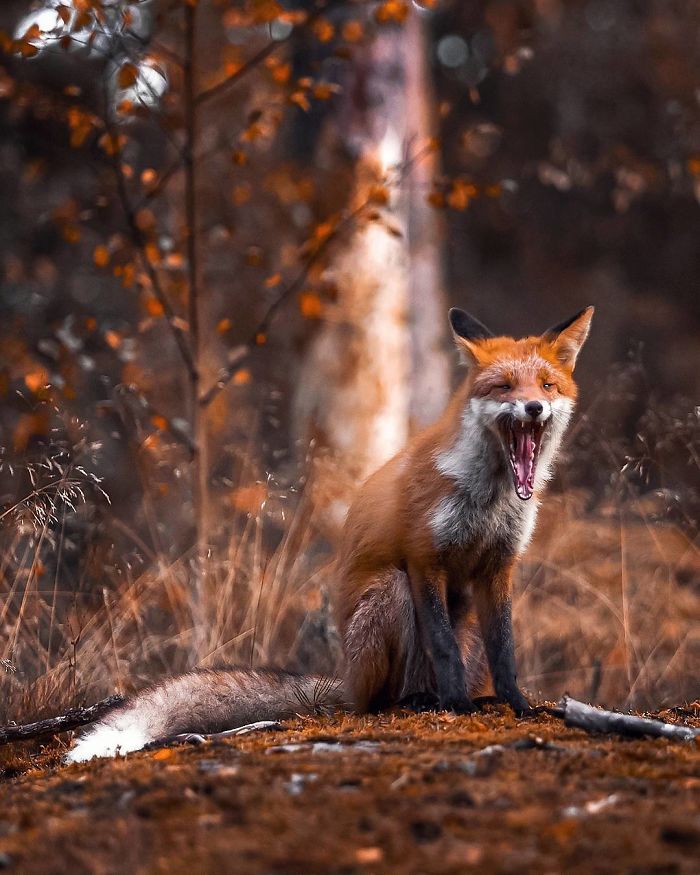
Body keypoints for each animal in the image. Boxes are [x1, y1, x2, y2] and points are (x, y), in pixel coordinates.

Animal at [65, 305, 593, 762]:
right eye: (504, 386)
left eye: (547, 385)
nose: (533, 407)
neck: (490, 497)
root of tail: (345, 677)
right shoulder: (425, 557)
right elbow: (443, 647)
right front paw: (458, 706)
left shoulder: (499, 566)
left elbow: (505, 650)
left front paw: (518, 704)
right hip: (391, 594)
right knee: (379, 700)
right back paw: (421, 701)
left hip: (464, 620)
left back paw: (463, 698)